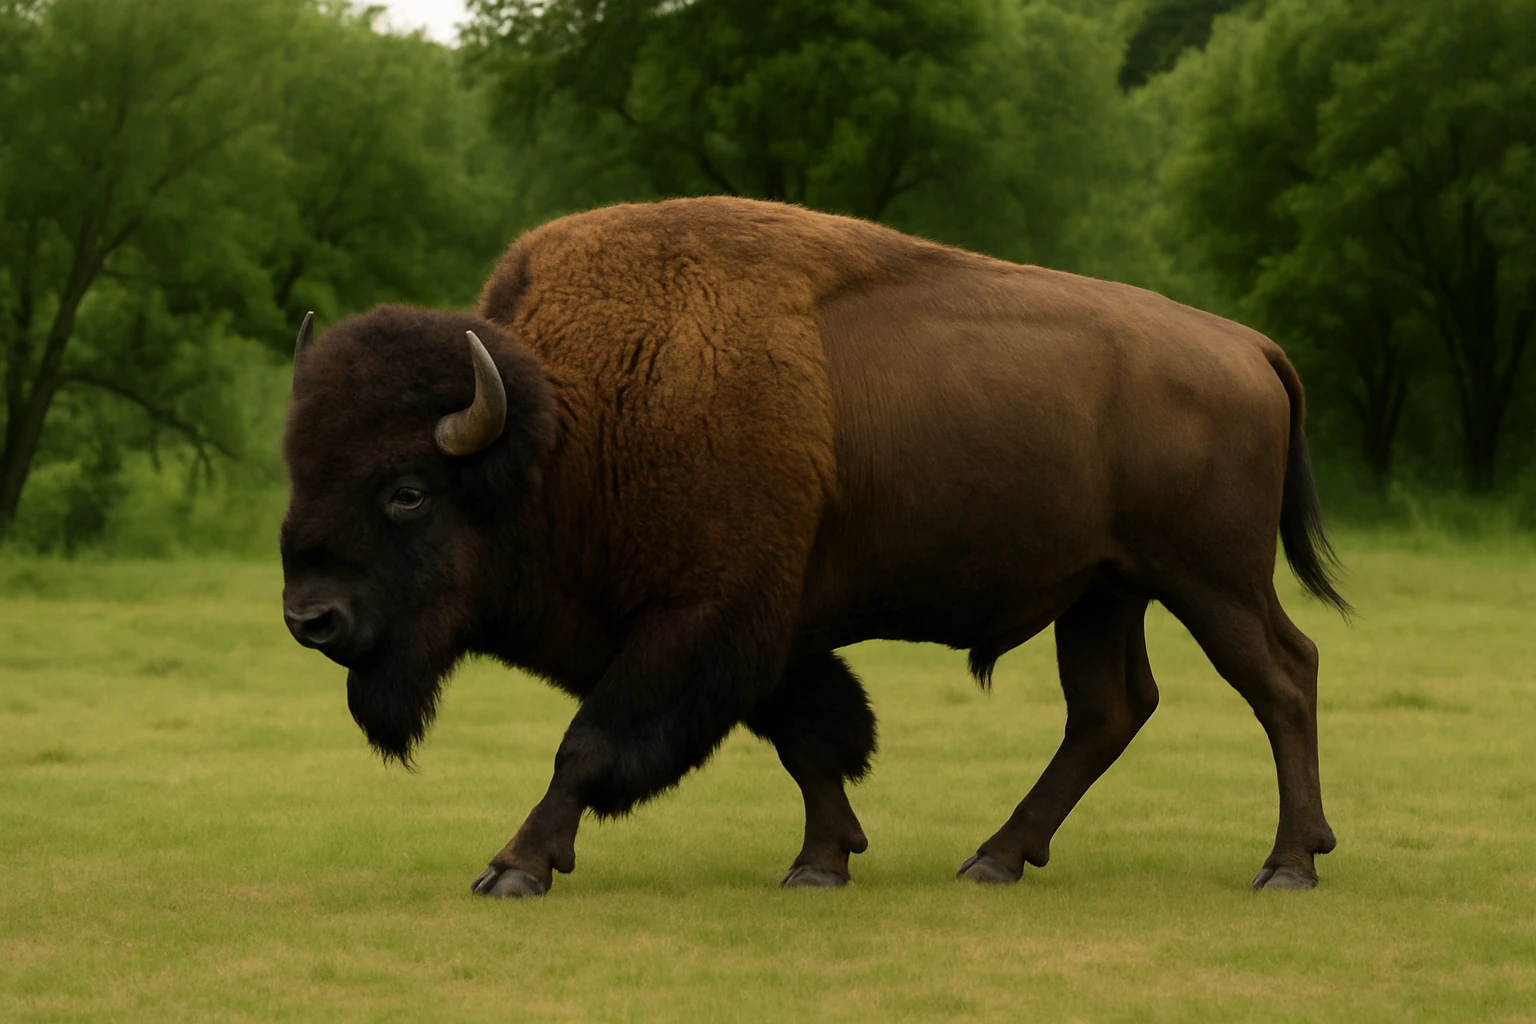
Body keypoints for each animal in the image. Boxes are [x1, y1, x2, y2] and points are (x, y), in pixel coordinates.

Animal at [281, 197, 1346, 898]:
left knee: (1283, 678)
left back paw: (1288, 863)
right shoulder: (768, 633)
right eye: (298, 469)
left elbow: (591, 743)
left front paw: (514, 866)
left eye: (408, 493)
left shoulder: (702, 620)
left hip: (1211, 580)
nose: (310, 617)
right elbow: (813, 737)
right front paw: (822, 861)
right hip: (1104, 592)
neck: (565, 428)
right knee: (1109, 710)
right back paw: (994, 857)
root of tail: (1248, 345)